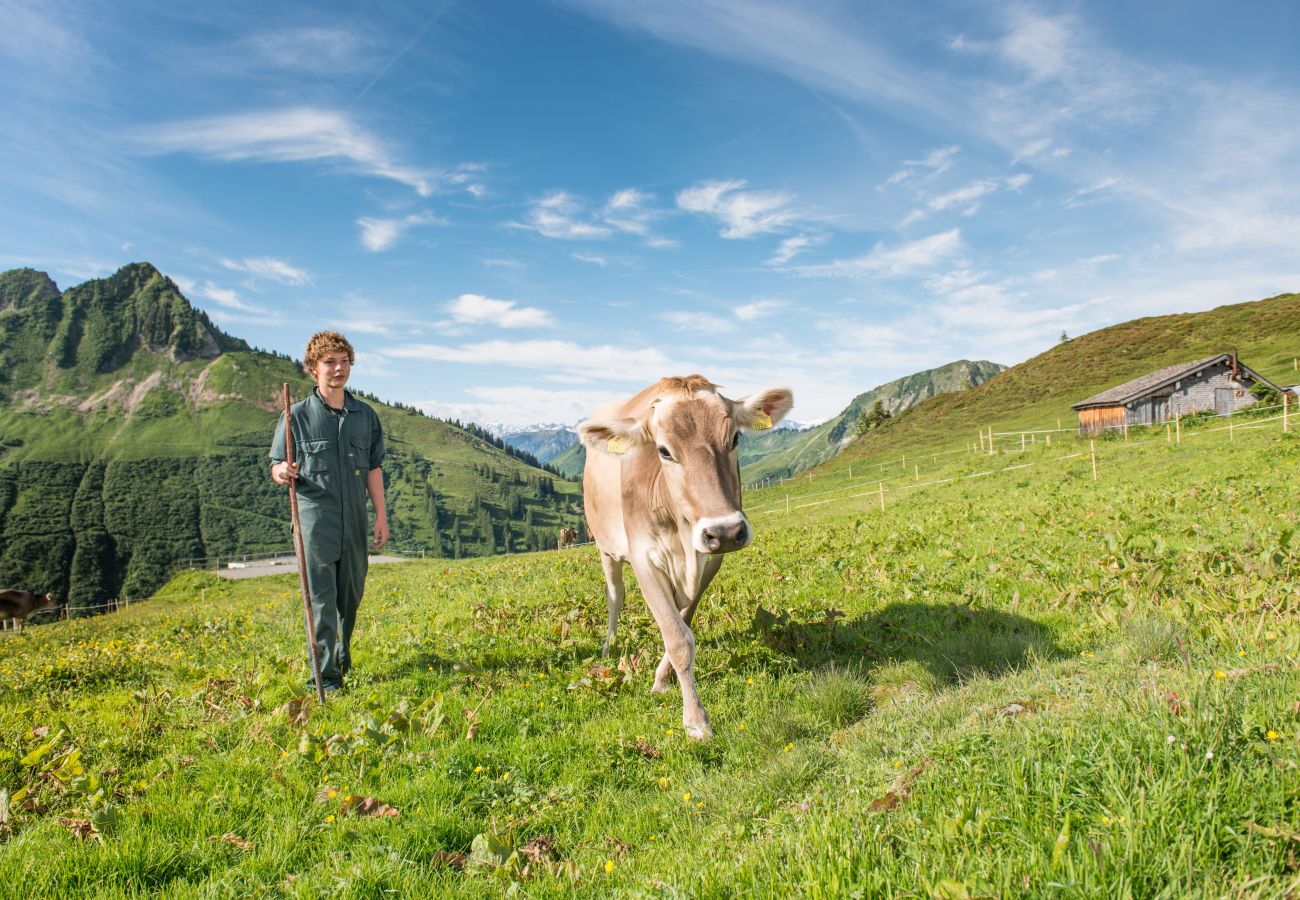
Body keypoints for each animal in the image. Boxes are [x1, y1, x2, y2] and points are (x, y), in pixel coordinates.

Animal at [582, 374, 790, 738]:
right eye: (664, 451)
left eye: (734, 437)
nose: (724, 531)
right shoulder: (642, 557)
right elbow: (677, 637)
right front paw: (696, 720)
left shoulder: (711, 560)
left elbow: (683, 622)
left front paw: (662, 680)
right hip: (605, 546)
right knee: (614, 596)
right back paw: (609, 646)